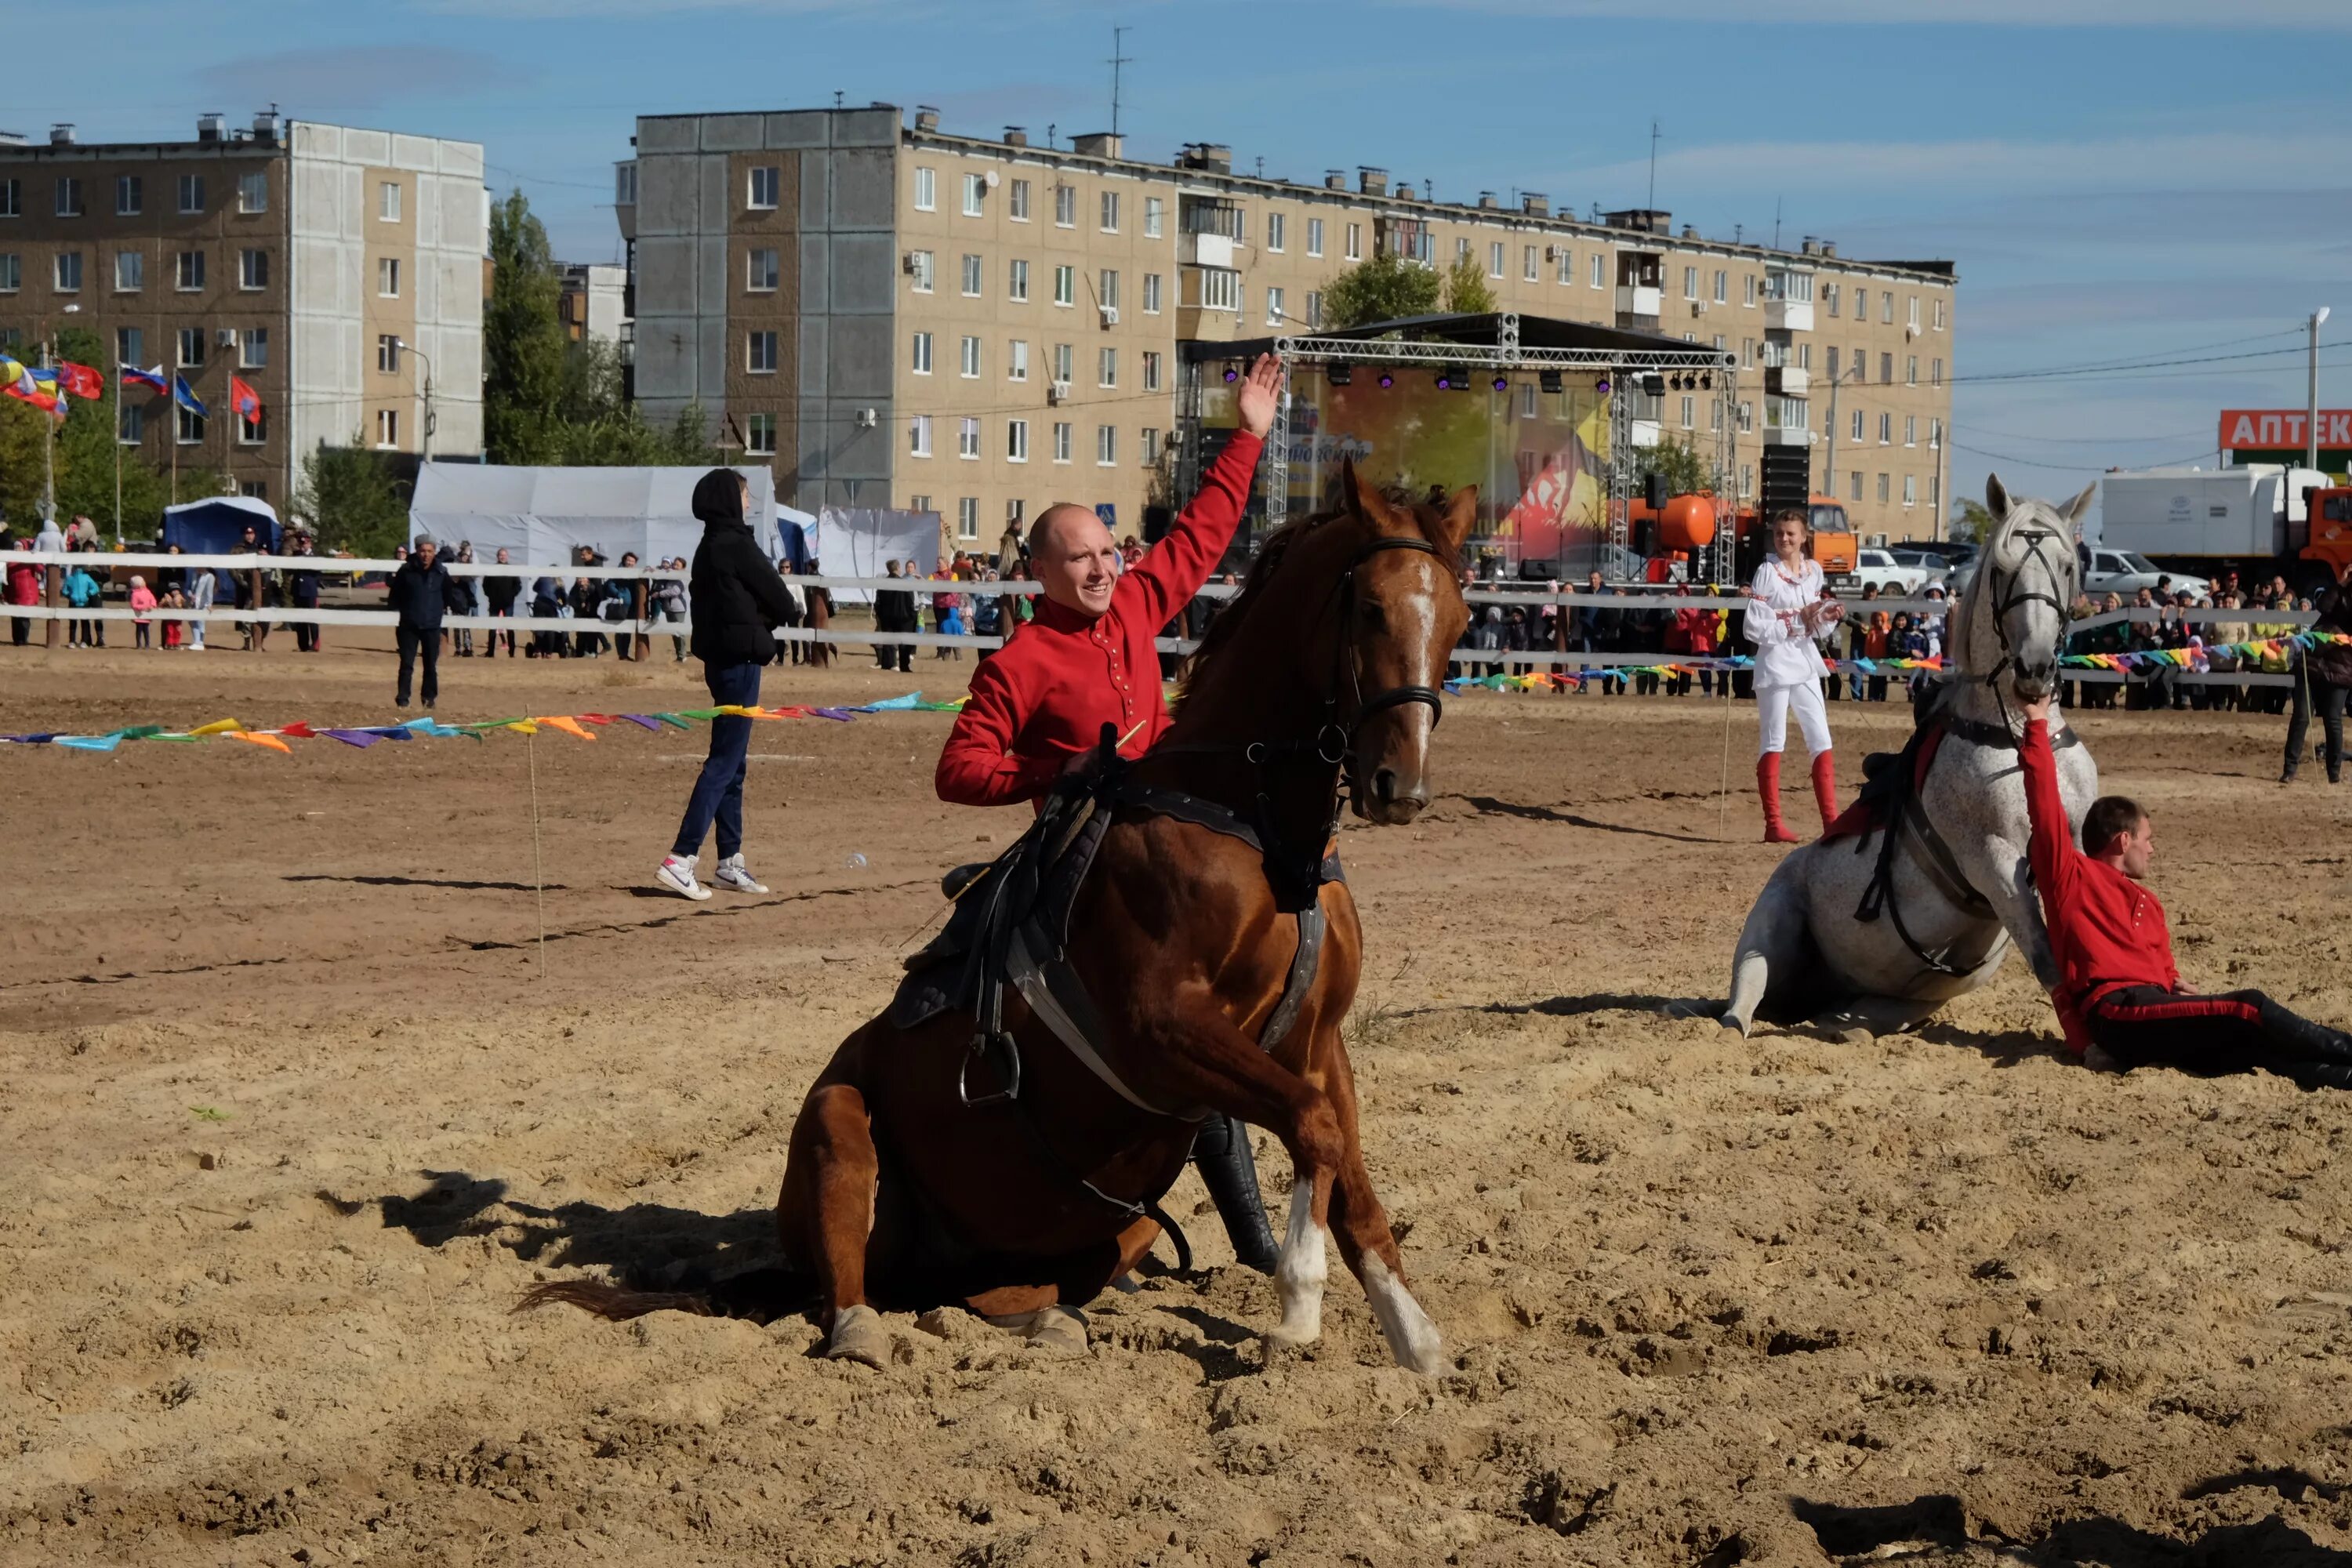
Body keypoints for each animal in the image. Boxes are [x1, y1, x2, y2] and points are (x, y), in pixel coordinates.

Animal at [1722, 479, 2107, 1044]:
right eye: (2001, 569)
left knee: (1860, 1015)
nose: (2035, 668)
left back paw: (1844, 1026)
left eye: (2065, 565)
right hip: (1770, 927)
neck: (2014, 735)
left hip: (1909, 999)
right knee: (1745, 995)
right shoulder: (1992, 860)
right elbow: (2047, 958)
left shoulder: (2074, 843)